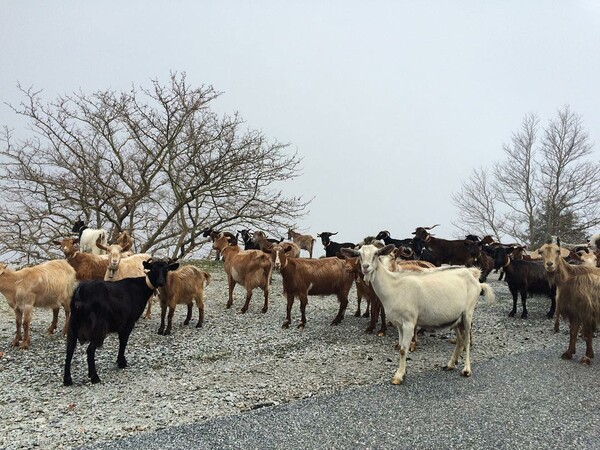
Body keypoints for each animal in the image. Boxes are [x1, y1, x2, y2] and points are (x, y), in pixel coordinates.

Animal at [64, 256, 180, 384]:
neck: (141, 287)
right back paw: (95, 377)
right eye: (153, 269)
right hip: (98, 326)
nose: (161, 282)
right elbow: (123, 342)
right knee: (90, 350)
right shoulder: (129, 321)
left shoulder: (121, 323)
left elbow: (121, 341)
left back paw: (67, 380)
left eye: (166, 270)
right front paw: (122, 363)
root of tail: (80, 293)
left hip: (74, 323)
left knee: (70, 349)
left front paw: (120, 361)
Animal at [340, 244, 494, 384]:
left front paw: (398, 376)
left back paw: (466, 369)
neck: (393, 286)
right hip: (456, 317)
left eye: (376, 254)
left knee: (467, 340)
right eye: (359, 255)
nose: (366, 267)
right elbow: (400, 347)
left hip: (468, 312)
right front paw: (402, 372)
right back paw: (450, 364)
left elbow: (403, 350)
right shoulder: (399, 324)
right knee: (460, 340)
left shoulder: (409, 322)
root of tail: (475, 278)